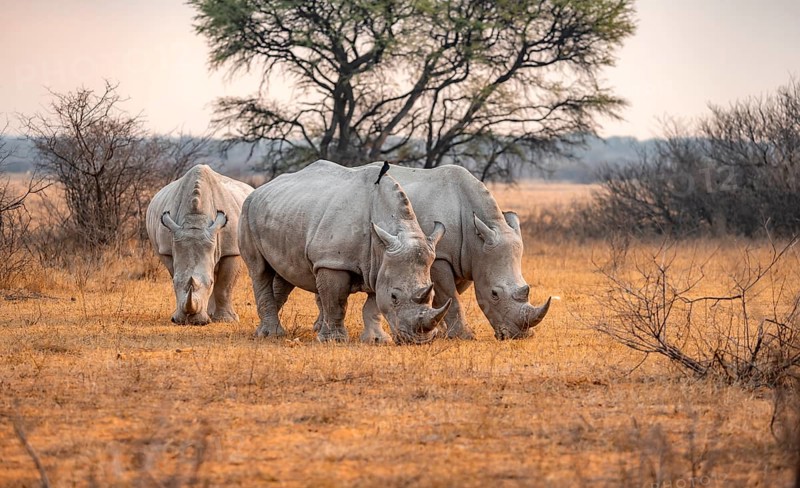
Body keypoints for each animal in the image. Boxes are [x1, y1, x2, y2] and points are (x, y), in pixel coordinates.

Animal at [146, 164, 254, 325]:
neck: (195, 220)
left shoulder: (232, 250)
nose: (191, 321)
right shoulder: (166, 249)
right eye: (173, 283)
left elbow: (225, 285)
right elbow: (176, 273)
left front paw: (226, 320)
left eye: (210, 283)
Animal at [238, 160, 451, 344]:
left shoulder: (380, 264)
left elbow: (373, 306)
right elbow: (337, 301)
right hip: (246, 211)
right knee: (259, 270)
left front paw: (376, 340)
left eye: (432, 296)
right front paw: (334, 340)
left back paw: (264, 331)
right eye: (394, 297)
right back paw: (271, 334)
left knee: (285, 273)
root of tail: (258, 189)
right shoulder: (332, 262)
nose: (419, 341)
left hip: (283, 211)